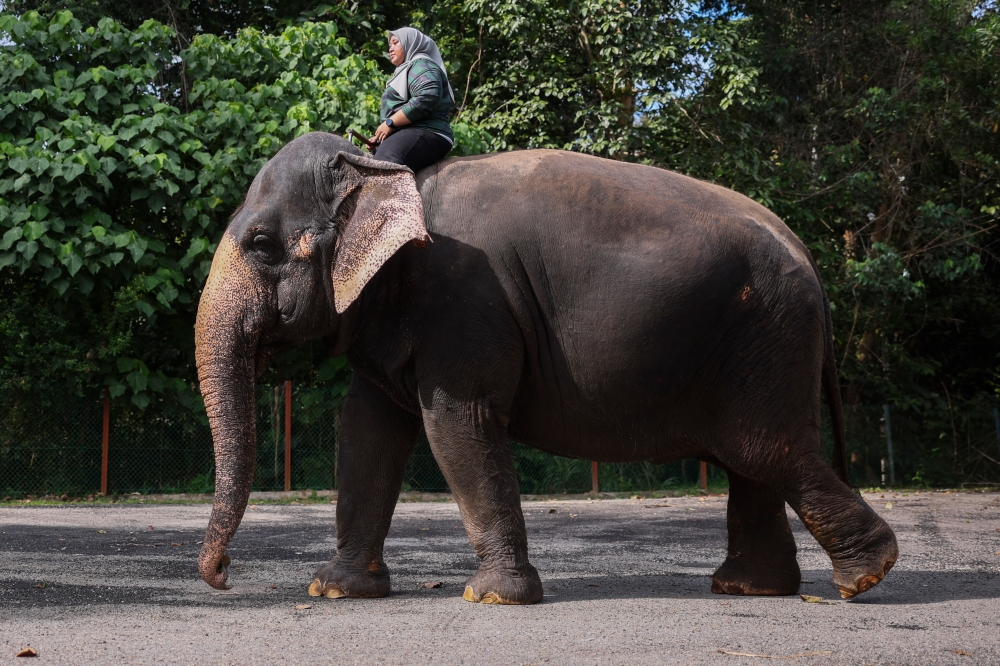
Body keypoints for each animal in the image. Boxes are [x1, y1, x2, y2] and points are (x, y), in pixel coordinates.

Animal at [194, 131, 897, 604]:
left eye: (261, 244)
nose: (223, 577)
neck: (382, 172)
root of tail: (805, 251)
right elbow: (367, 429)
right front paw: (335, 590)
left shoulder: (462, 299)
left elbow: (456, 421)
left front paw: (493, 597)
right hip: (757, 342)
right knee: (751, 459)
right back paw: (752, 588)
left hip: (767, 333)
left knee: (763, 448)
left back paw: (865, 576)